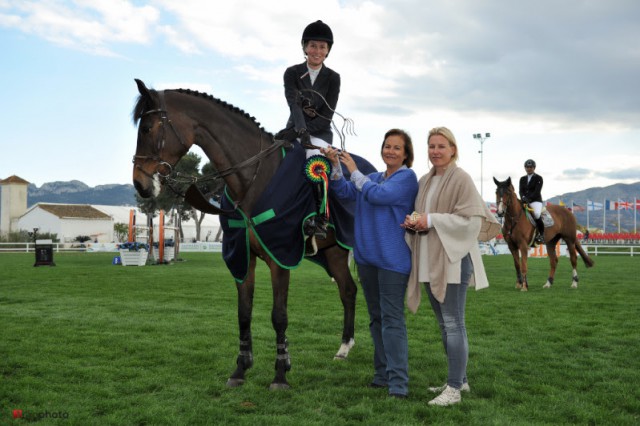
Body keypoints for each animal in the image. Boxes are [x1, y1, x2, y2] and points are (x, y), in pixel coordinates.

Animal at [131, 79, 362, 390]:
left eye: (146, 128)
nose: (140, 184)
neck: (252, 177)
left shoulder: (280, 256)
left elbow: (279, 316)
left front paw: (280, 373)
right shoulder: (243, 257)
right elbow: (243, 313)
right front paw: (240, 368)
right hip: (333, 252)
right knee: (348, 291)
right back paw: (343, 348)